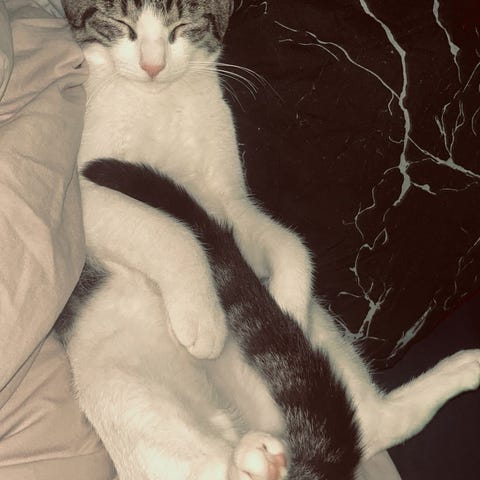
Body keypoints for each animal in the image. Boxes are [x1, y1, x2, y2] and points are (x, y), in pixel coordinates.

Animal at [57, 0, 480, 479]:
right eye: (120, 24)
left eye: (181, 26)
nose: (152, 65)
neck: (158, 104)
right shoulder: (82, 194)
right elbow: (165, 229)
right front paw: (203, 319)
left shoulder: (228, 201)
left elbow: (290, 245)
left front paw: (286, 302)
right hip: (129, 395)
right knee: (199, 466)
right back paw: (252, 460)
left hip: (324, 337)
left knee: (368, 422)